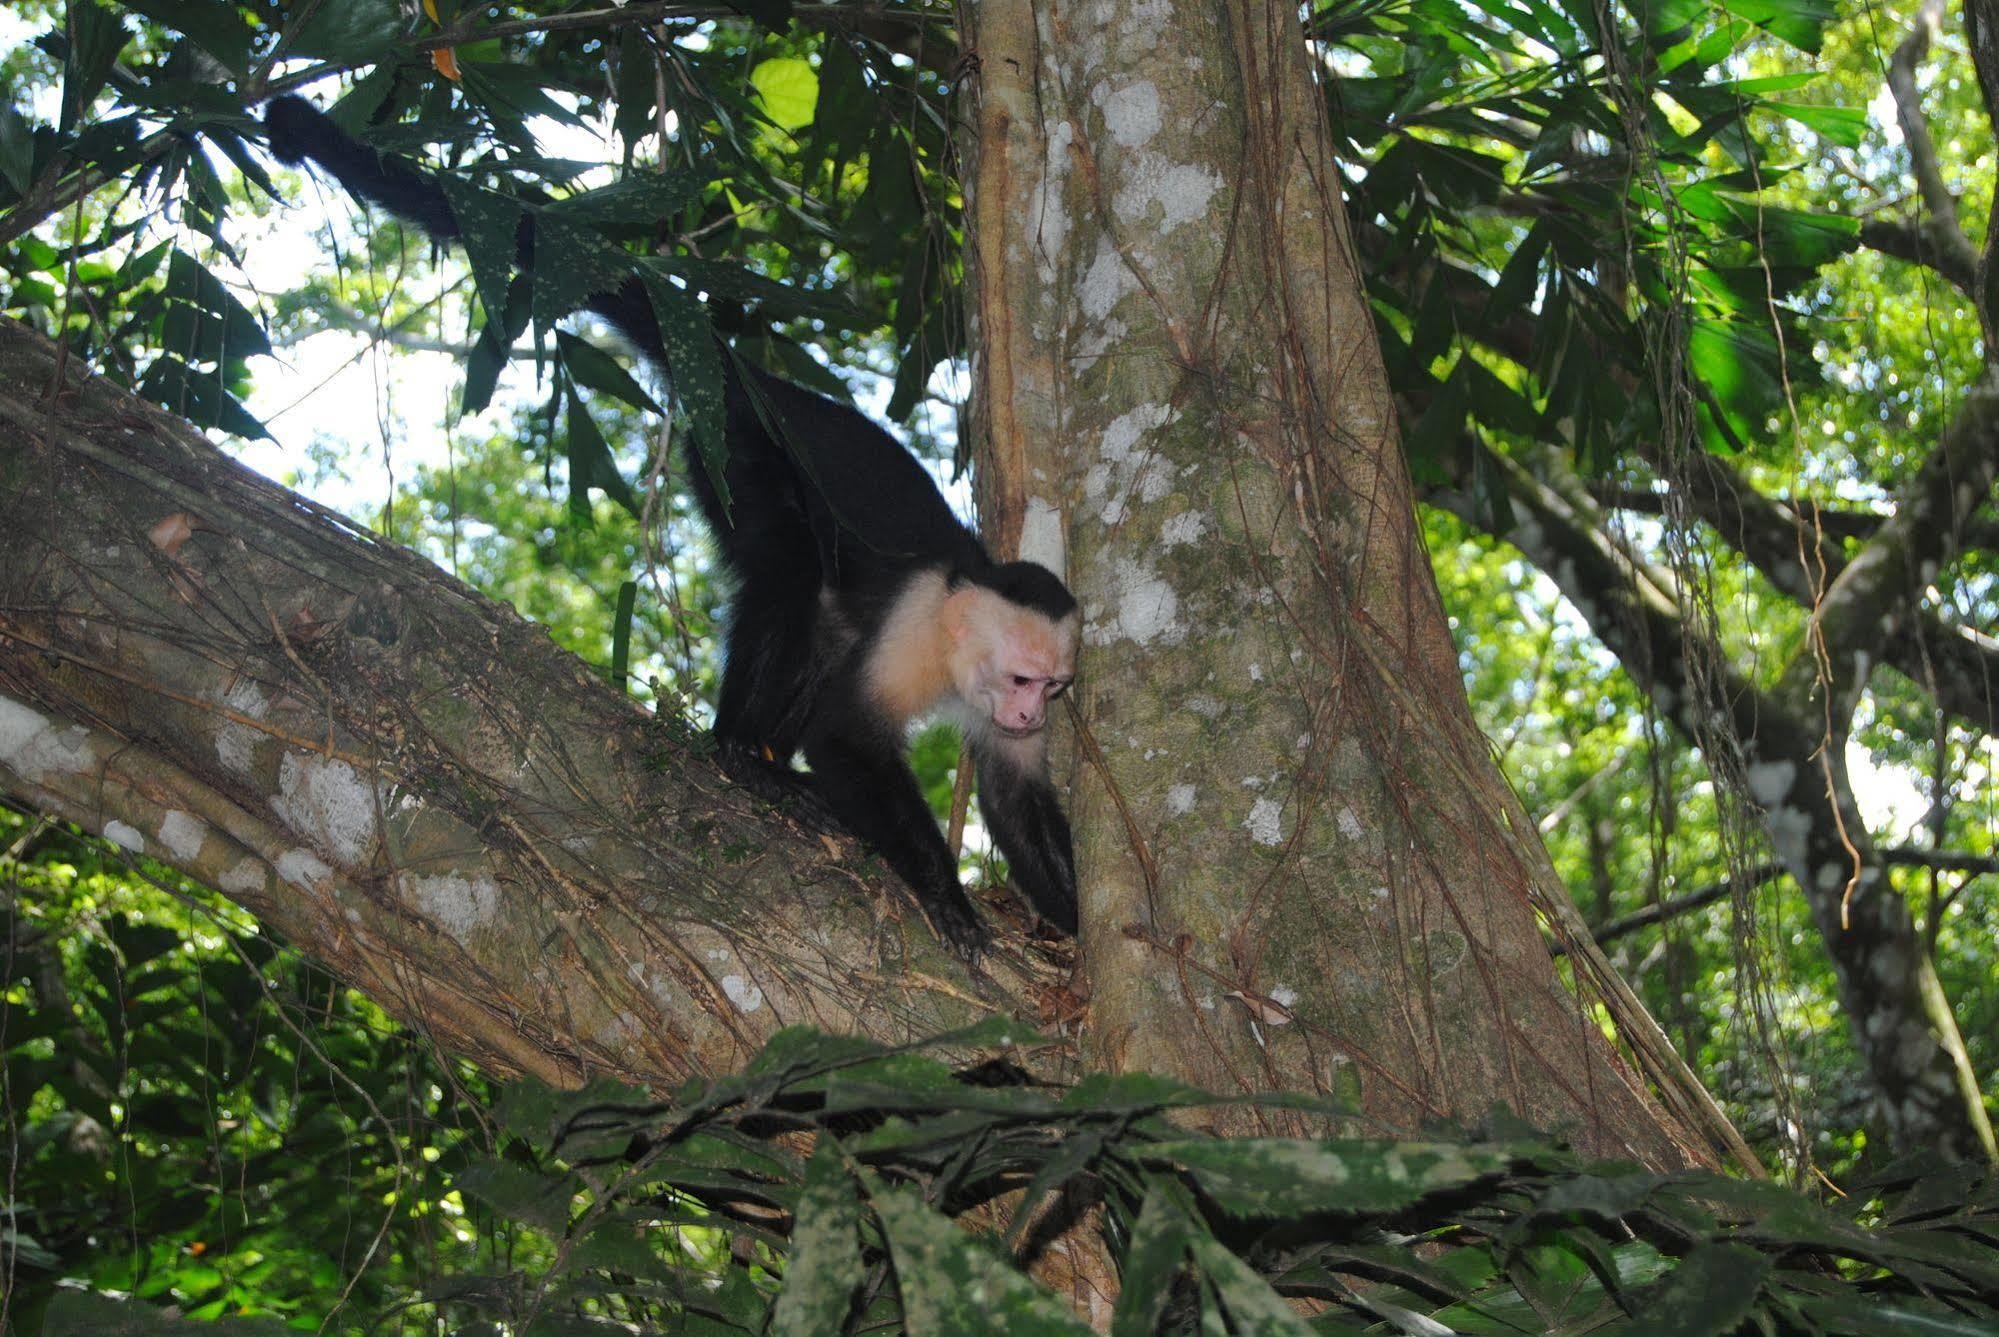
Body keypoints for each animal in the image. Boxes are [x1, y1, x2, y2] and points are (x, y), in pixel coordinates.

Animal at [267, 93, 1087, 959]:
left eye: (1050, 688)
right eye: (1025, 680)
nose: (1034, 714)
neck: (956, 638)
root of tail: (757, 379)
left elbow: (1013, 797)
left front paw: (1083, 928)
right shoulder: (914, 627)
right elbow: (842, 738)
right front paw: (946, 892)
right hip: (736, 448)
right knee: (790, 571)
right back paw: (743, 753)